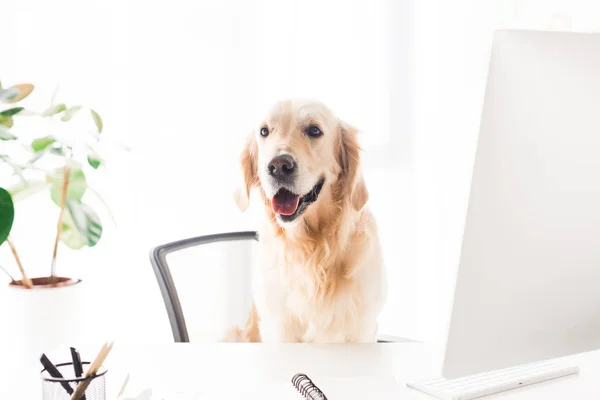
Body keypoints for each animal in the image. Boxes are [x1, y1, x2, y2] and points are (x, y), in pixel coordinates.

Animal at [227, 100, 386, 344]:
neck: (313, 249)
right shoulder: (279, 329)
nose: (278, 166)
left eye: (314, 130)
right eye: (264, 131)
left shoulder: (361, 330)